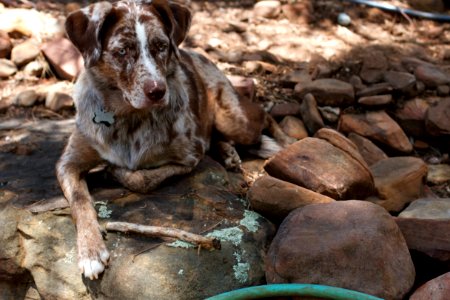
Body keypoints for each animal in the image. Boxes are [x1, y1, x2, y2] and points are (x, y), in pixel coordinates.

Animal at [58, 0, 292, 278]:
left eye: (161, 46)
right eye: (122, 51)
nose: (158, 91)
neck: (128, 115)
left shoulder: (190, 155)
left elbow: (143, 179)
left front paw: (115, 172)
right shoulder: (68, 163)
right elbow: (80, 201)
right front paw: (91, 251)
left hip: (235, 119)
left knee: (263, 115)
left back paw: (285, 144)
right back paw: (228, 153)